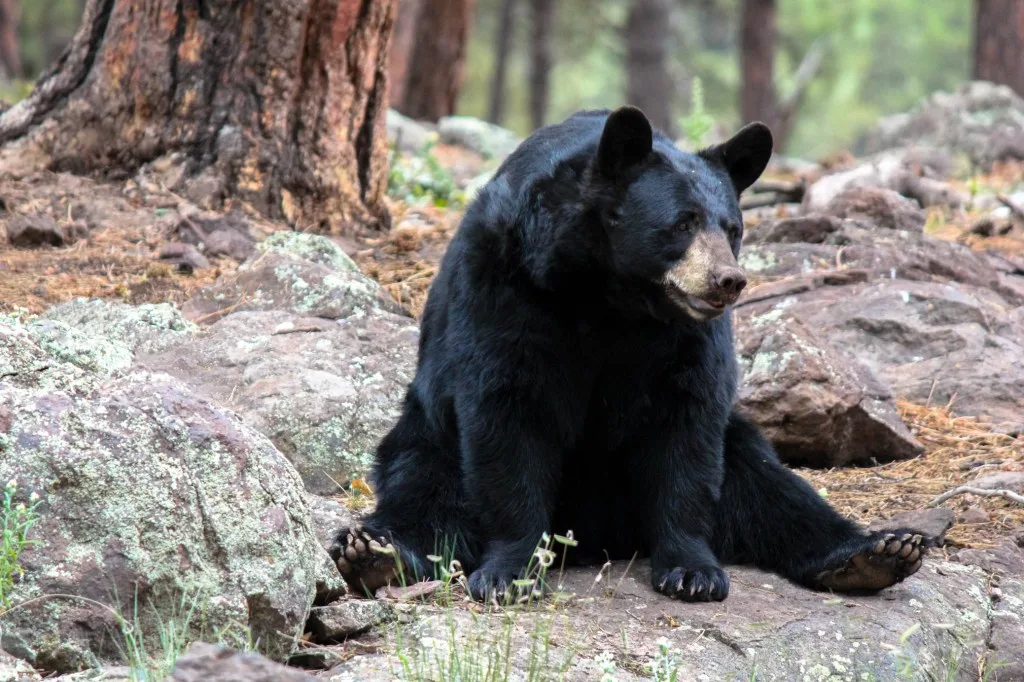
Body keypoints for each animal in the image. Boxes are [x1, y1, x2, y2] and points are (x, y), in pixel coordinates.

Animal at [329, 106, 929, 602]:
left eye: (732, 228)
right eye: (683, 222)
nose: (728, 281)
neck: (610, 295)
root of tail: (603, 537)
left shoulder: (684, 339)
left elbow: (687, 431)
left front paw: (692, 571)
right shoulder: (506, 287)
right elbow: (507, 411)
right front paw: (509, 573)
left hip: (738, 445)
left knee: (771, 486)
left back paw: (876, 553)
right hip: (427, 432)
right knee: (422, 487)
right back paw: (372, 553)